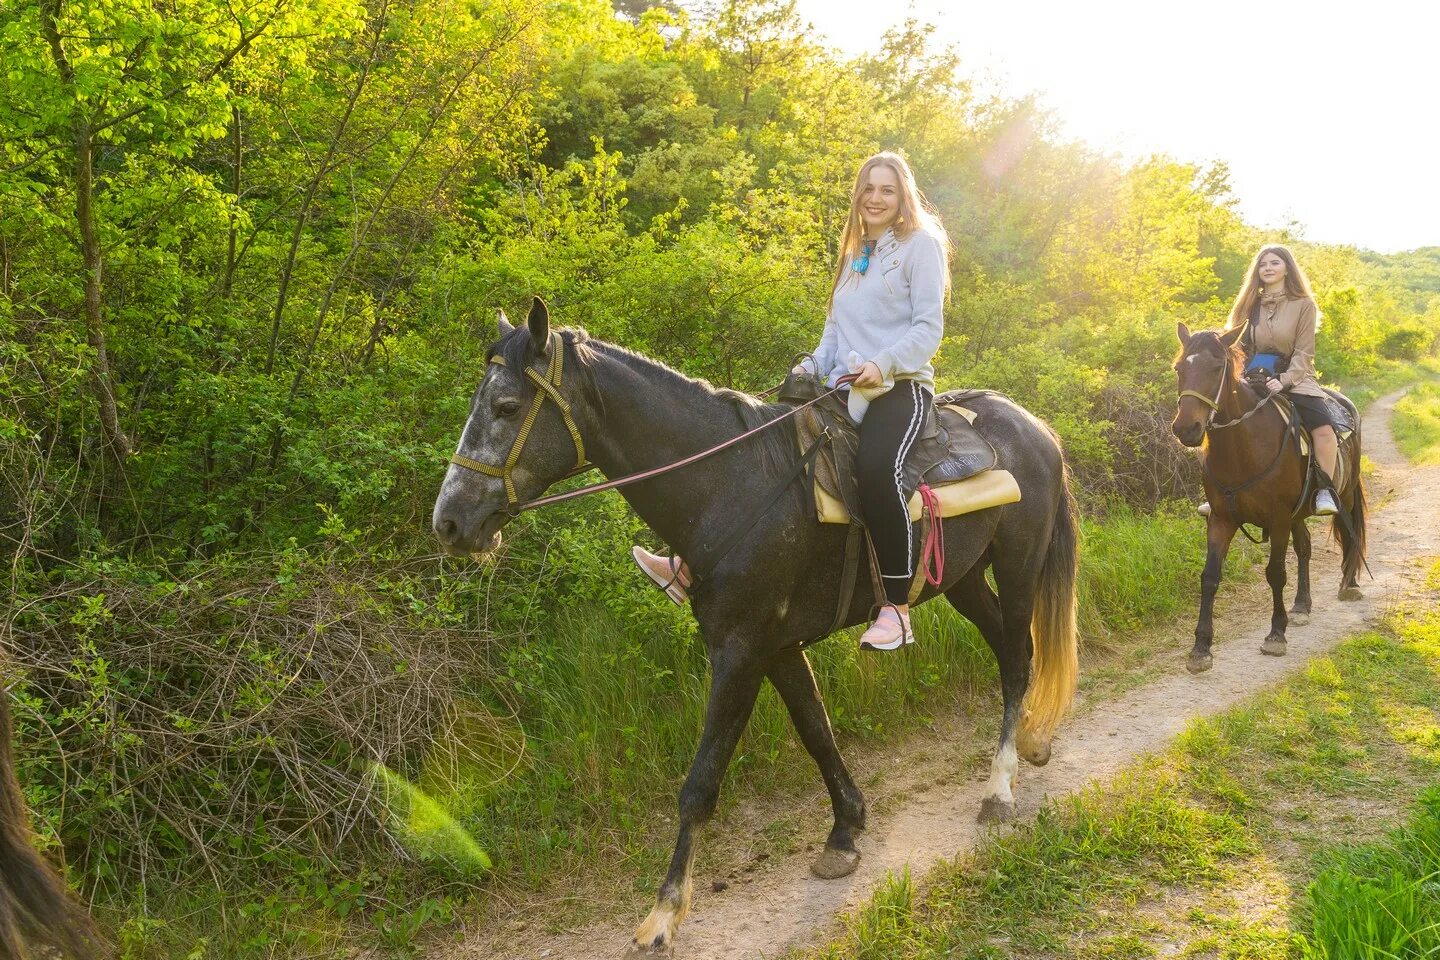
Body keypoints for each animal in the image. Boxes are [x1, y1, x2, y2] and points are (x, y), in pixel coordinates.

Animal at [432, 297, 1077, 955]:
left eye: (507, 407)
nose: (450, 522)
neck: (729, 484)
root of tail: (1034, 426)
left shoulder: (739, 651)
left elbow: (701, 783)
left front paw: (664, 913)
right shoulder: (777, 647)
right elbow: (817, 732)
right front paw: (845, 833)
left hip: (1018, 567)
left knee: (1017, 658)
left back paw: (999, 788)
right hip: (963, 578)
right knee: (1011, 650)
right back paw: (1029, 743)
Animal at [1169, 326, 1359, 673]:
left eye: (1217, 367)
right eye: (1179, 368)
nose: (1186, 428)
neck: (1243, 447)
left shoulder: (1279, 519)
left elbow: (1275, 573)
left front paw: (1276, 635)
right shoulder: (1221, 519)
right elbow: (1210, 576)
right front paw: (1201, 647)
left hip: (1346, 496)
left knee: (1351, 535)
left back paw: (1350, 585)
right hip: (1299, 513)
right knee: (1305, 547)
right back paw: (1302, 605)